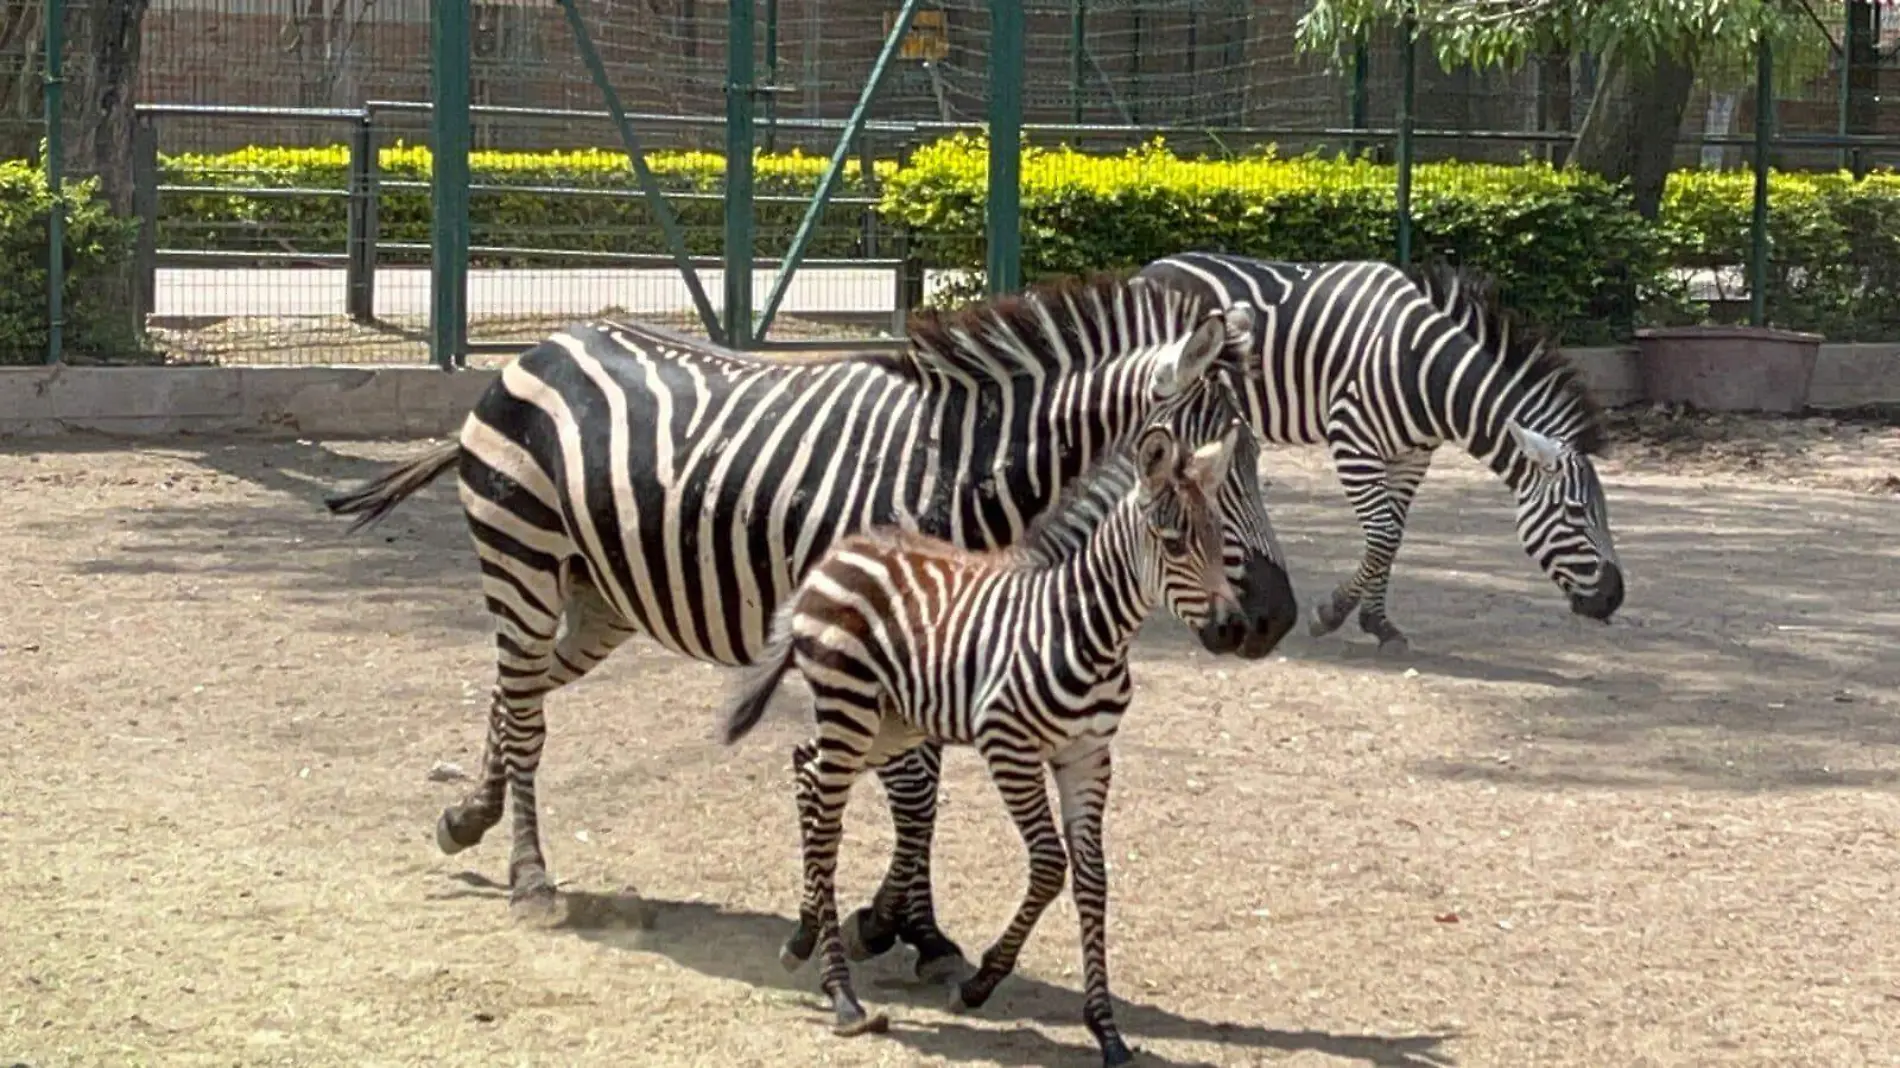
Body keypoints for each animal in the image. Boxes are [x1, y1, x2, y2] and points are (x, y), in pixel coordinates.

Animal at [323, 269, 1307, 942]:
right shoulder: (883, 625)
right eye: (1195, 476)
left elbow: (923, 784)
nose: (1275, 622)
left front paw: (902, 922)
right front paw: (903, 927)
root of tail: (546, 345)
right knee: (527, 713)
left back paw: (469, 817)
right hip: (522, 558)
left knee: (514, 692)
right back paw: (531, 878)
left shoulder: (934, 628)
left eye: (1255, 460)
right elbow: (914, 788)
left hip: (597, 598)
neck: (956, 470)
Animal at [718, 414, 1254, 1056]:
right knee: (824, 816)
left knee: (807, 772)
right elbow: (1050, 866)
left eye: (1218, 538)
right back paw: (844, 997)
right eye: (1173, 543)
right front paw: (980, 983)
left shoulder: (1088, 756)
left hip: (891, 722)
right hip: (851, 706)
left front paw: (1106, 1029)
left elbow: (1093, 877)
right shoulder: (1010, 748)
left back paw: (802, 937)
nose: (1233, 629)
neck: (1085, 630)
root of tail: (838, 553)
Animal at [1132, 250, 1626, 649]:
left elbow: (1393, 535)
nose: (1613, 598)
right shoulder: (1353, 443)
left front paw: (1378, 622)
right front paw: (1330, 613)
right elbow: (1384, 534)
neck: (1427, 374)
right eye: (1577, 512)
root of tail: (1150, 268)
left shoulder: (1412, 456)